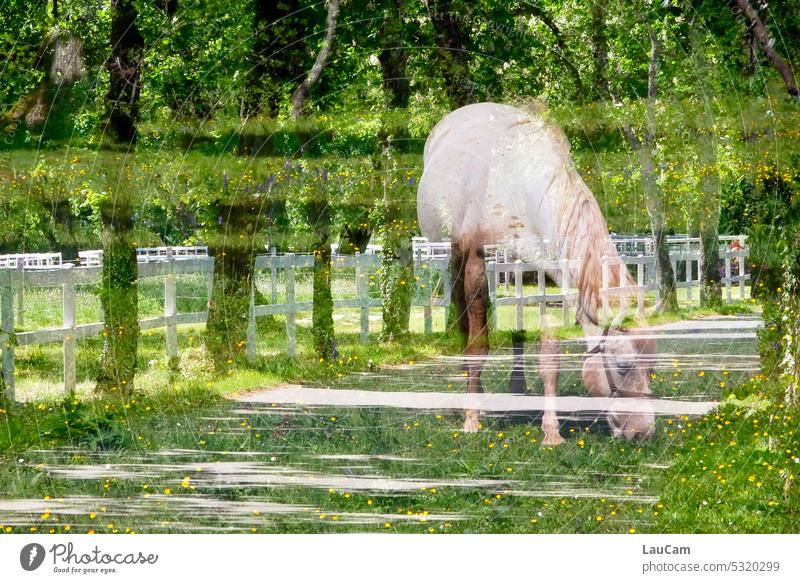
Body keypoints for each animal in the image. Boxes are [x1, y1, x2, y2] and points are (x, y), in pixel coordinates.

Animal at [416, 102, 652, 444]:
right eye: (622, 366)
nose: (643, 431)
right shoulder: (476, 263)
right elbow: (478, 345)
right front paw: (472, 418)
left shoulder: (546, 277)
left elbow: (549, 357)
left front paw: (551, 431)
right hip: (454, 260)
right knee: (463, 320)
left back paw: (518, 387)